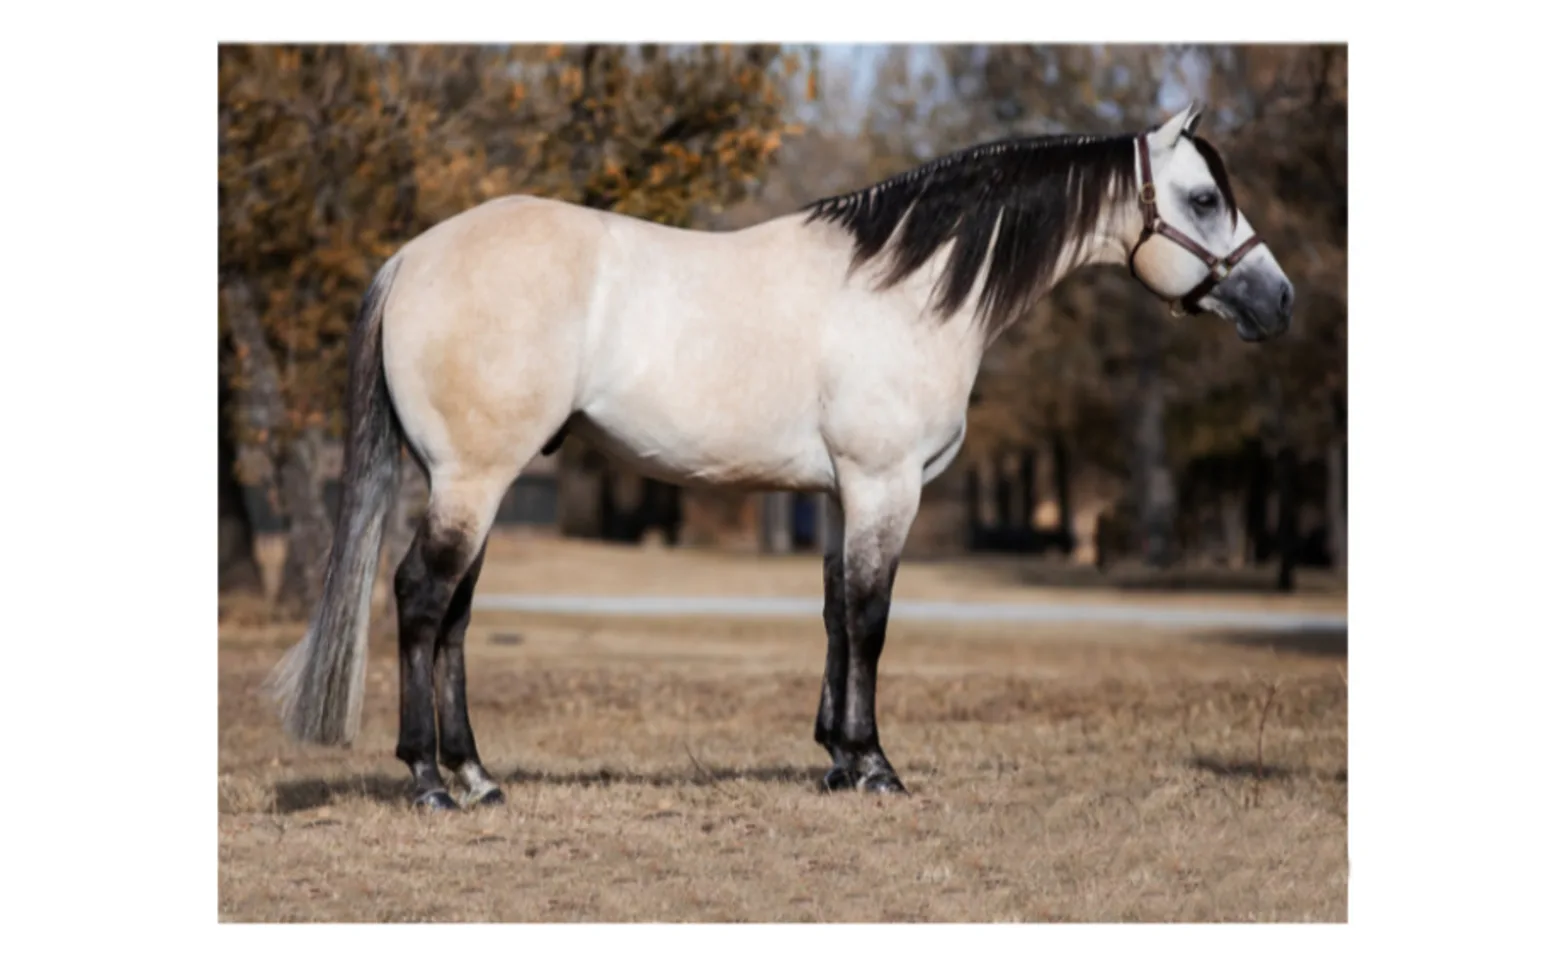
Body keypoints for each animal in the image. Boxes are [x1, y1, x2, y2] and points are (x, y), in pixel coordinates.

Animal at [266, 101, 1294, 810]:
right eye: (1204, 198)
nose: (1279, 301)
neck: (908, 289)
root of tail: (414, 257)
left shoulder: (841, 494)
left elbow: (837, 617)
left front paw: (836, 758)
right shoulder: (884, 487)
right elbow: (873, 622)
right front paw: (876, 767)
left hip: (468, 482)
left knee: (454, 617)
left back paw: (478, 776)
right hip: (473, 481)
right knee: (419, 600)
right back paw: (430, 782)